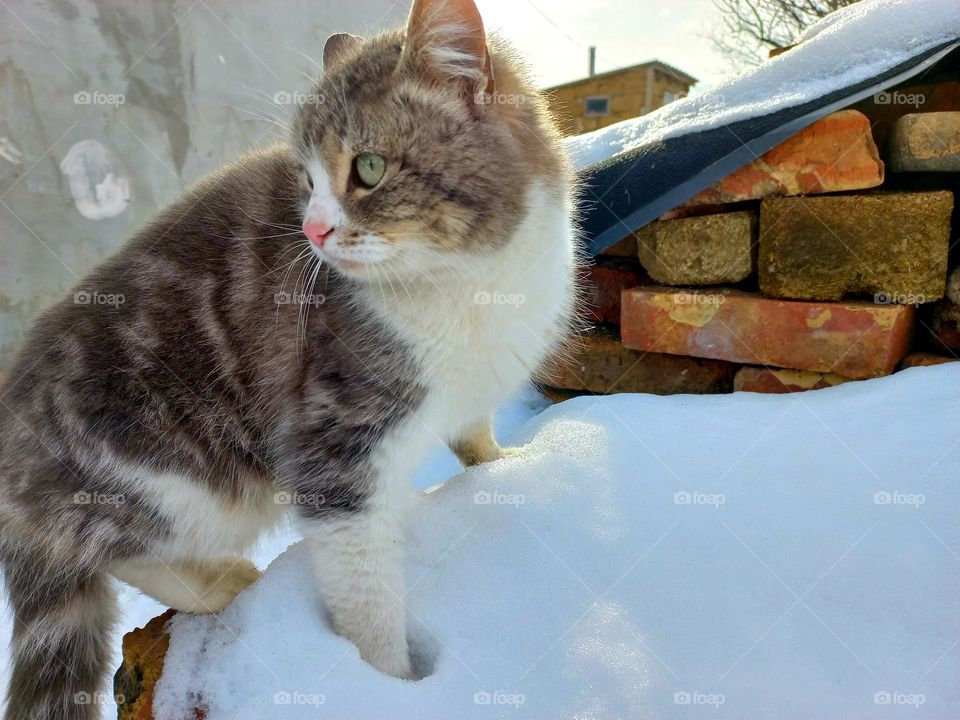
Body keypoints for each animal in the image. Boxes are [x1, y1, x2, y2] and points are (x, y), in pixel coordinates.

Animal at [0, 0, 576, 716]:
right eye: (307, 179)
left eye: (368, 168)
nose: (311, 229)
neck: (473, 283)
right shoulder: (335, 445)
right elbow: (365, 588)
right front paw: (388, 685)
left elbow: (477, 444)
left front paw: (504, 466)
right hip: (170, 471)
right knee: (111, 550)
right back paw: (221, 582)